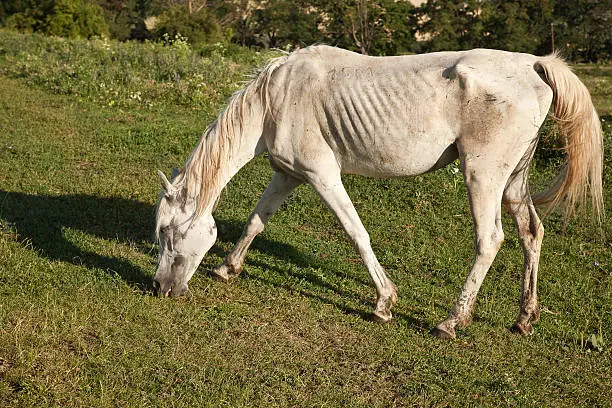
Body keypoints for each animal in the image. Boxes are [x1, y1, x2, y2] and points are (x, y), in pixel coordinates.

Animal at [153, 43, 604, 338]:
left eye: (169, 234)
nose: (160, 289)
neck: (276, 97)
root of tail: (533, 64)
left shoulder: (322, 175)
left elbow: (356, 233)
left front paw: (384, 303)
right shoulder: (288, 174)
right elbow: (255, 222)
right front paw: (228, 267)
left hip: (483, 176)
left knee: (490, 240)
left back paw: (451, 321)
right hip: (513, 181)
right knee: (531, 233)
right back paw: (524, 319)